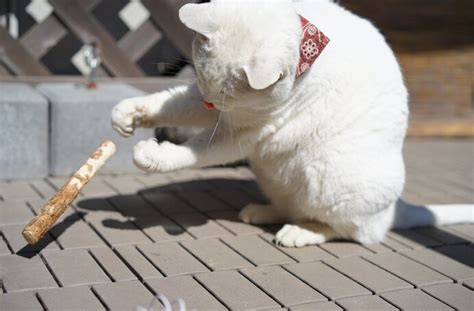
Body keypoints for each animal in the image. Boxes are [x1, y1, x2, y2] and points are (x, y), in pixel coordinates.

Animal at [113, 0, 472, 249]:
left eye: (223, 93)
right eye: (200, 79)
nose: (209, 102)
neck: (307, 43)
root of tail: (395, 210)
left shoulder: (241, 133)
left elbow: (190, 153)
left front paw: (152, 155)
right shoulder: (210, 110)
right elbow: (169, 103)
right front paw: (128, 113)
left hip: (331, 175)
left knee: (353, 232)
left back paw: (301, 233)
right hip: (276, 177)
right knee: (293, 207)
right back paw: (263, 212)